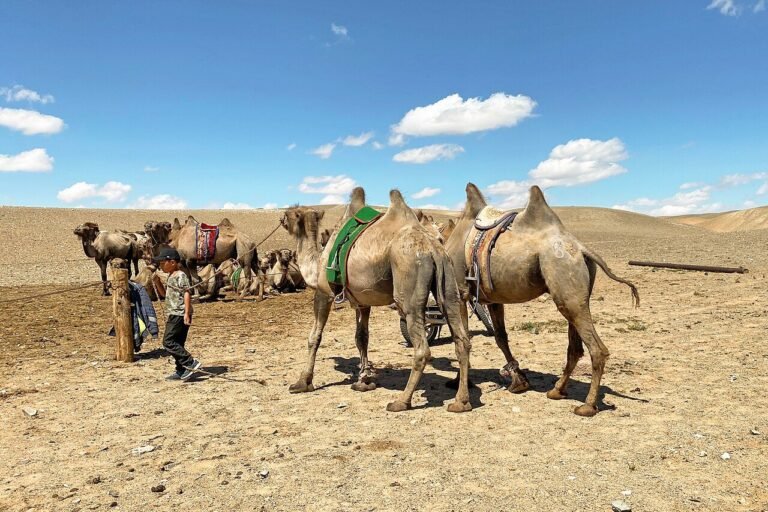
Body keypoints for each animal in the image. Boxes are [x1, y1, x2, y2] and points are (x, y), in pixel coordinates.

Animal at [281, 187, 473, 413]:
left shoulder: (324, 292)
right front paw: (364, 381)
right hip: (449, 284)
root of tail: (432, 248)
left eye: (290, 213)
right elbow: (361, 337)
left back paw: (402, 401)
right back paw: (461, 402)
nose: (281, 218)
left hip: (408, 283)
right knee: (462, 339)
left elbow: (315, 337)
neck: (317, 262)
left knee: (422, 347)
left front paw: (303, 382)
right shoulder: (362, 301)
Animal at [443, 184, 640, 417]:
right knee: (575, 347)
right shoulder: (493, 299)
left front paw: (460, 398)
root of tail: (581, 248)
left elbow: (462, 341)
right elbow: (500, 337)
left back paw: (587, 406)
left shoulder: (458, 293)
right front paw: (519, 381)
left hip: (565, 284)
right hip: (576, 296)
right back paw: (557, 391)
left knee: (596, 349)